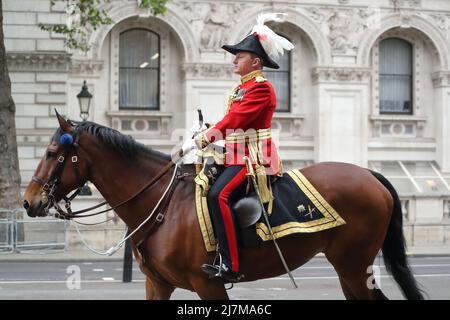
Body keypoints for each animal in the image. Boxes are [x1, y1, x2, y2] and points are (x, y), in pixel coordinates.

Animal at [22, 113, 426, 300]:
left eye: (53, 152)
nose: (29, 202)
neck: (163, 204)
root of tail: (369, 173)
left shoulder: (209, 284)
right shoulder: (158, 284)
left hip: (354, 267)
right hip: (350, 269)